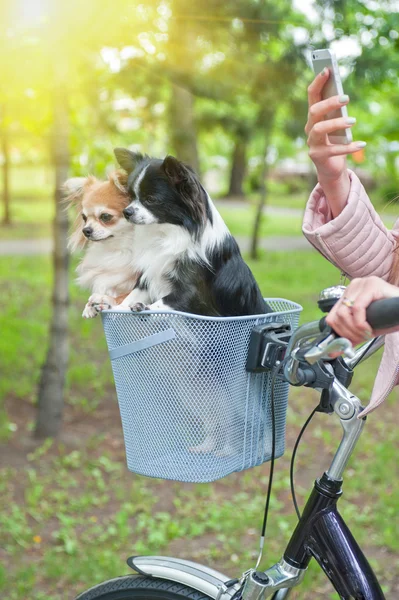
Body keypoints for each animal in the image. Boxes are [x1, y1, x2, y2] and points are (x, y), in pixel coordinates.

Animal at [64, 171, 139, 316]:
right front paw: (89, 306)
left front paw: (105, 299)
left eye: (105, 216)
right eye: (84, 218)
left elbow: (126, 295)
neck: (120, 250)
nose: (86, 230)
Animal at [114, 149, 274, 318]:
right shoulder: (148, 276)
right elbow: (130, 297)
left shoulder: (193, 295)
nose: (126, 212)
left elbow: (162, 303)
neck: (167, 232)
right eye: (131, 197)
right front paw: (117, 308)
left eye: (151, 199)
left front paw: (144, 308)